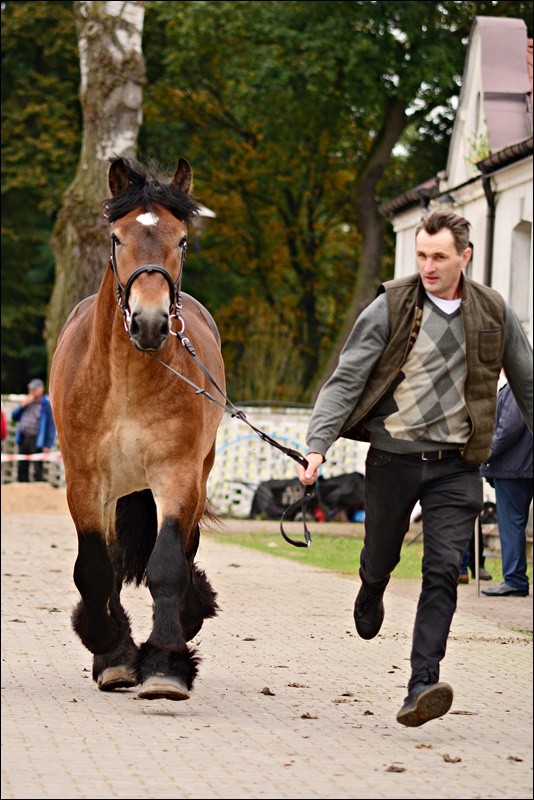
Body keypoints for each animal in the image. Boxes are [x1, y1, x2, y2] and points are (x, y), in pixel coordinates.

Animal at [50, 156, 226, 700]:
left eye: (182, 239)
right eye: (117, 237)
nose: (149, 322)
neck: (126, 381)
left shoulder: (176, 475)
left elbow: (167, 564)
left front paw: (166, 664)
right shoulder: (86, 481)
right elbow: (94, 569)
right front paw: (110, 648)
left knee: (184, 551)